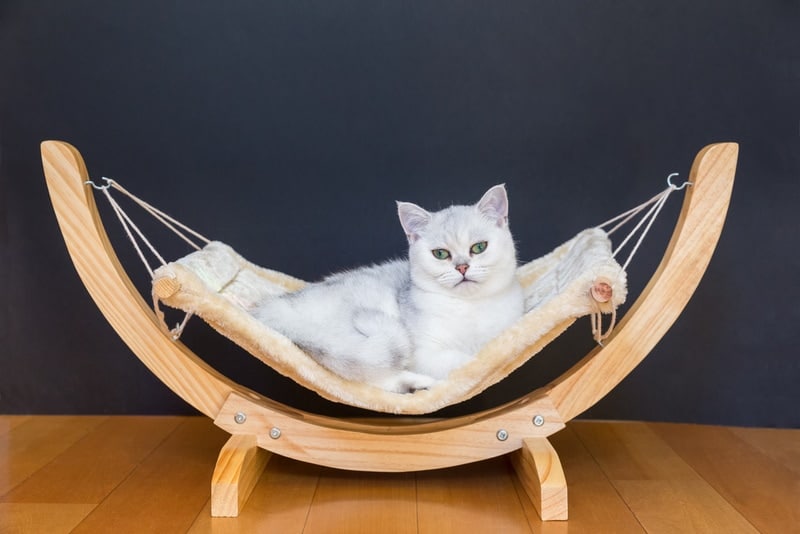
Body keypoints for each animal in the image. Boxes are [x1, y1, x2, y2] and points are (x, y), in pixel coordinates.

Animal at [252, 186, 524, 396]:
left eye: (479, 247)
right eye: (440, 254)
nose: (462, 267)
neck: (469, 308)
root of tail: (277, 304)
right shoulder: (425, 353)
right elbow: (466, 361)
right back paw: (418, 384)